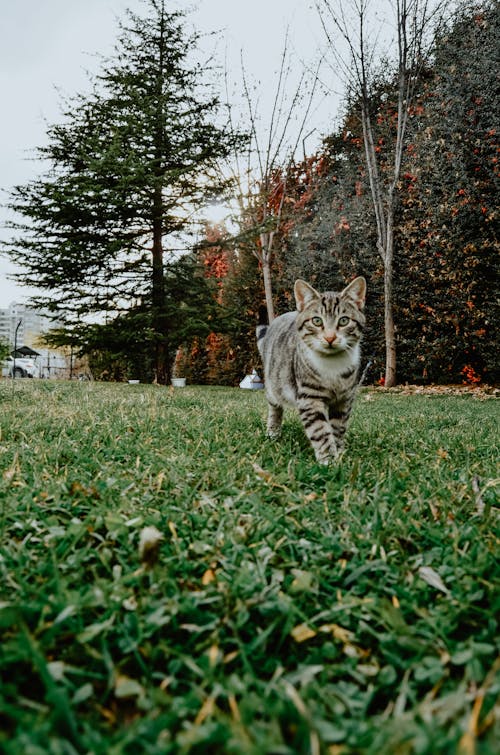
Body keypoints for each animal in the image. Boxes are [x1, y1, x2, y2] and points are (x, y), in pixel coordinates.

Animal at [256, 278, 366, 464]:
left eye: (344, 321)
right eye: (317, 321)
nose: (330, 337)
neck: (332, 365)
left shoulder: (344, 399)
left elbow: (338, 427)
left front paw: (339, 452)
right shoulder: (310, 397)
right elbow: (320, 430)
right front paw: (329, 460)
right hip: (273, 384)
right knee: (275, 407)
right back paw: (273, 432)